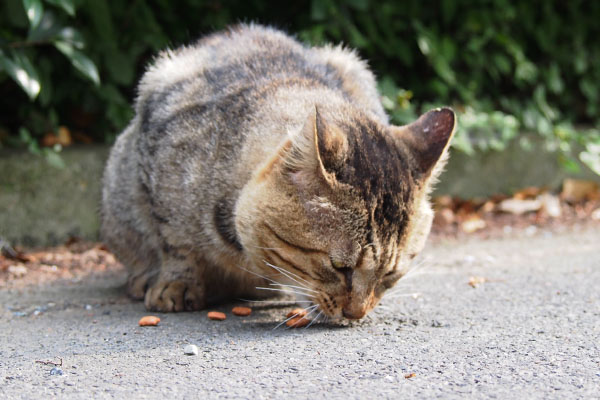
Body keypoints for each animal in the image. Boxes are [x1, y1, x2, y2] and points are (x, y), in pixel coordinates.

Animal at [101, 23, 454, 320]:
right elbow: (175, 241)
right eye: (339, 267)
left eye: (390, 276)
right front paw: (177, 283)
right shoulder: (160, 159)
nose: (356, 315)